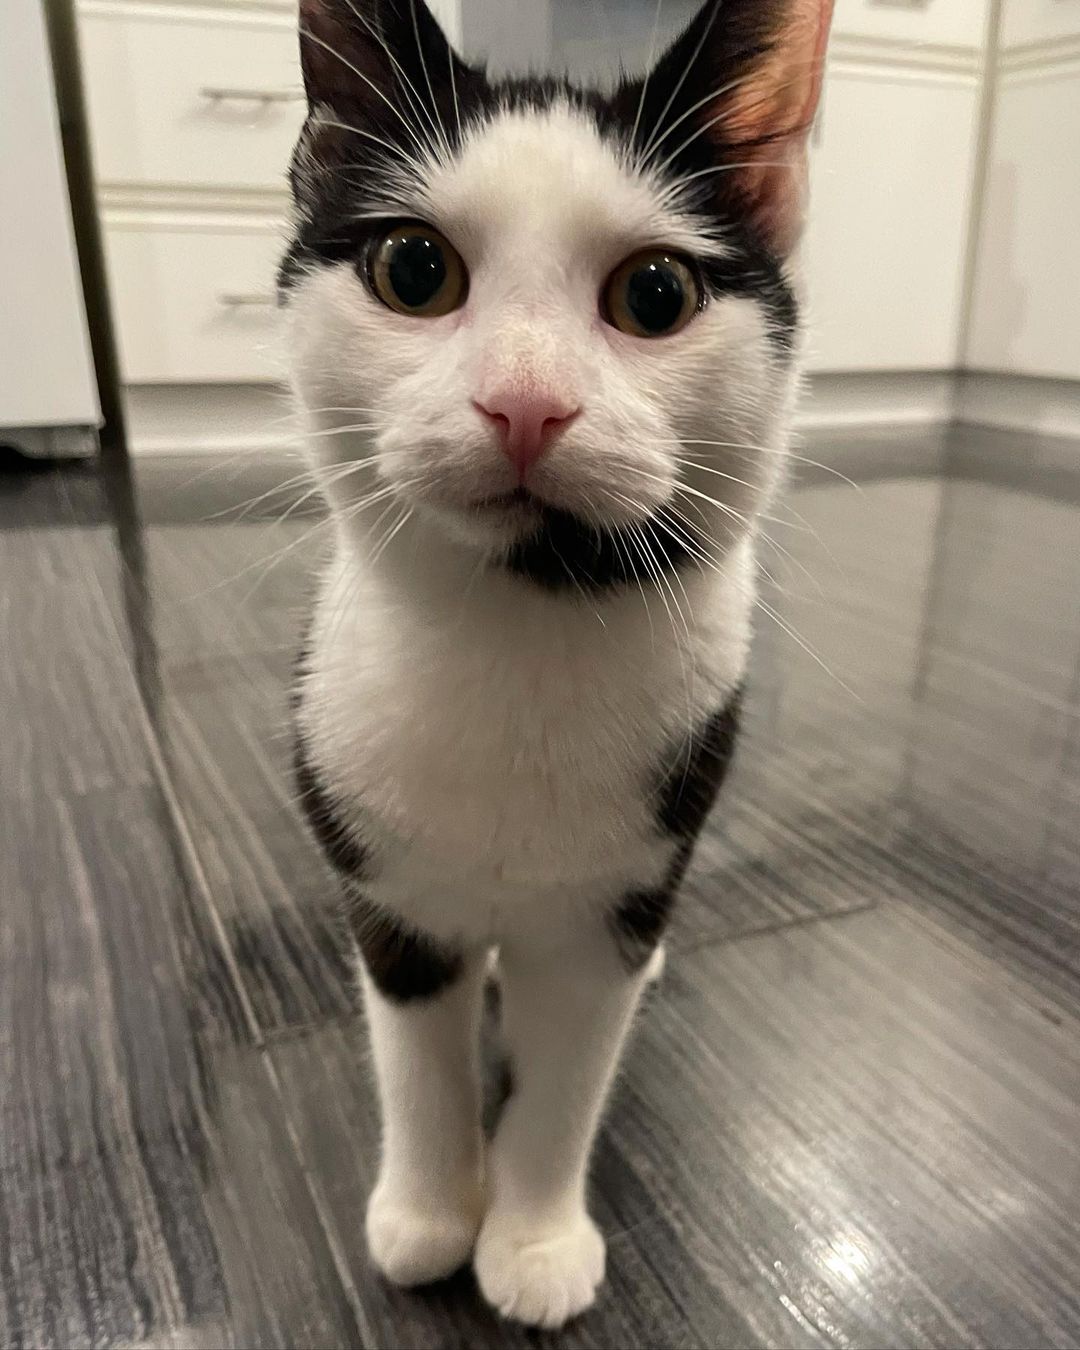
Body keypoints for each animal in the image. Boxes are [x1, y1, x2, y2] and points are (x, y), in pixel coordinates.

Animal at [280, 0, 837, 1328]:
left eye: (655, 292)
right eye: (414, 271)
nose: (524, 404)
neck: (520, 623)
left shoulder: (606, 916)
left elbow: (570, 1077)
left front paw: (530, 1241)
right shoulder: (388, 891)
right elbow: (416, 1060)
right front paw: (430, 1215)